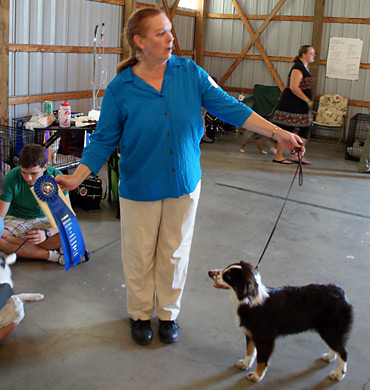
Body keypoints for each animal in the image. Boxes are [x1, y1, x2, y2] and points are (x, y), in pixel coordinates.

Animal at [208, 260, 352, 382]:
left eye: (228, 276)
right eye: (226, 268)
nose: (209, 272)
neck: (249, 300)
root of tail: (341, 293)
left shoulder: (265, 338)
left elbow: (261, 359)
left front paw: (256, 376)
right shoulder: (250, 333)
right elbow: (250, 350)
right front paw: (245, 364)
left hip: (329, 330)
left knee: (343, 352)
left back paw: (338, 374)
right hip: (330, 331)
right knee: (338, 348)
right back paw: (329, 357)